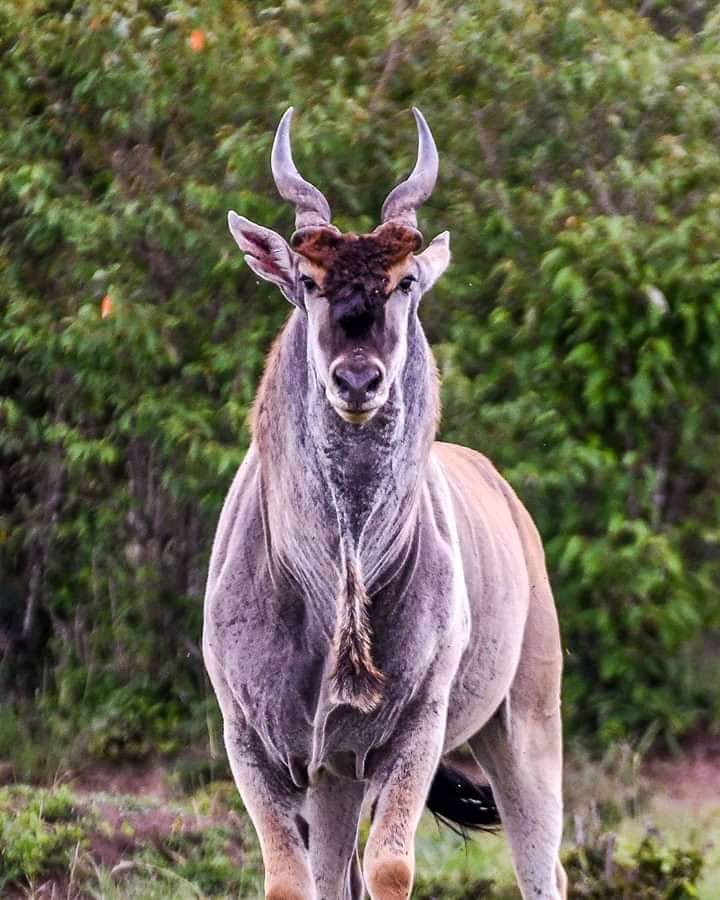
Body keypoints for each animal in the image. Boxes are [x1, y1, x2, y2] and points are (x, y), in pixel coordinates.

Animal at [200, 107, 564, 900]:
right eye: (307, 280)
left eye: (405, 282)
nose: (358, 380)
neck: (335, 590)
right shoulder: (256, 741)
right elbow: (292, 881)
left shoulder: (414, 732)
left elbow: (393, 868)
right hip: (335, 777)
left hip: (524, 724)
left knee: (543, 864)